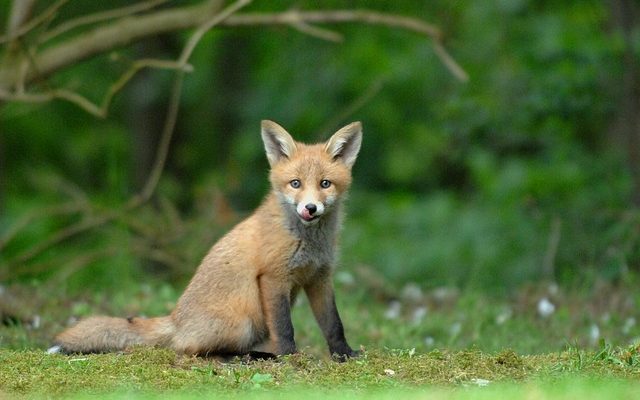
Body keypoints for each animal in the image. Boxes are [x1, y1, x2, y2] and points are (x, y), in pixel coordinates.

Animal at [47, 120, 362, 360]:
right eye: (295, 183)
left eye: (325, 184)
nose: (310, 208)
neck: (309, 241)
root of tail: (175, 319)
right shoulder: (273, 277)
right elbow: (285, 328)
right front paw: (289, 357)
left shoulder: (319, 278)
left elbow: (334, 324)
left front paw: (345, 355)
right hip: (244, 322)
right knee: (190, 349)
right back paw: (250, 356)